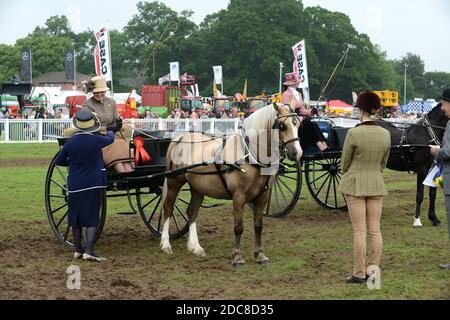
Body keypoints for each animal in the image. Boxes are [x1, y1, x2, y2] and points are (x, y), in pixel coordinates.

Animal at [160, 103, 300, 264]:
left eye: (298, 124)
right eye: (282, 126)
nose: (297, 153)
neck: (249, 154)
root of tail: (179, 138)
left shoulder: (263, 196)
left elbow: (258, 226)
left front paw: (260, 255)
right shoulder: (238, 196)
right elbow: (238, 227)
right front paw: (237, 257)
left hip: (198, 187)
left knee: (192, 212)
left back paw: (196, 247)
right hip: (174, 182)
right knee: (168, 209)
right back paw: (166, 244)